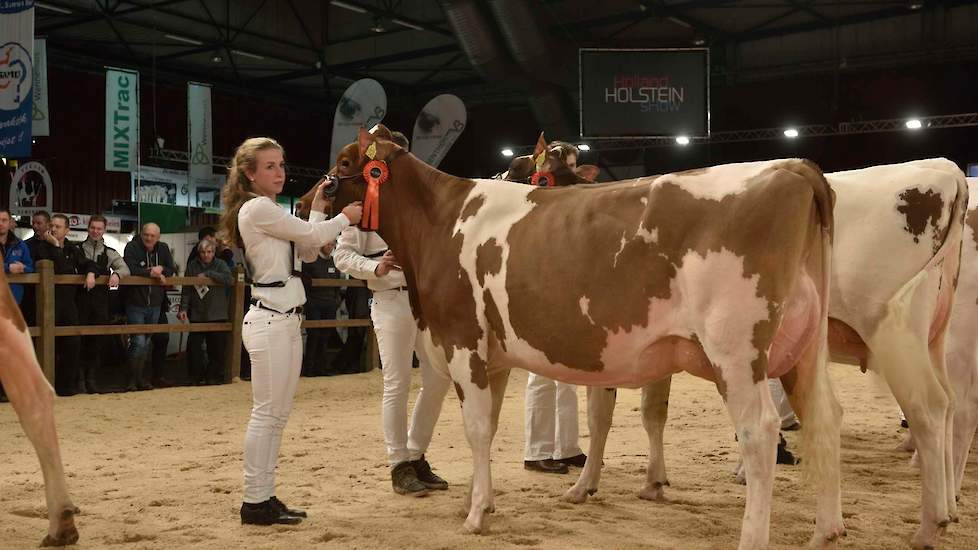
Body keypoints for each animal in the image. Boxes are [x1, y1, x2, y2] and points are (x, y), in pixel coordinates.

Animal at [568, 157, 964, 548]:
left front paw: (585, 484)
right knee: (948, 403)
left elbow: (601, 417)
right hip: (934, 338)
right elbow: (652, 413)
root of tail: (946, 172)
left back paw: (930, 525)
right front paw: (652, 480)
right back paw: (949, 505)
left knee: (929, 407)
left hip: (895, 335)